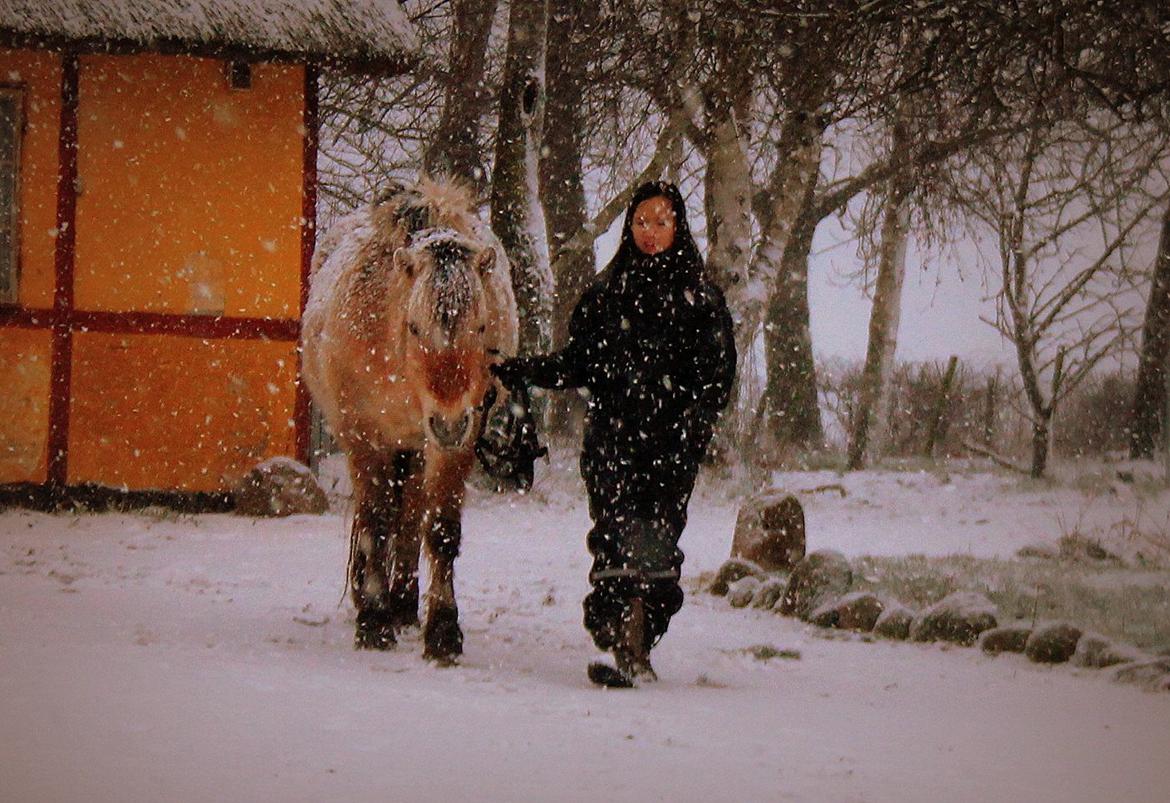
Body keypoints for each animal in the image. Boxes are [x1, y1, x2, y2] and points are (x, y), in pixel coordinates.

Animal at [301, 179, 517, 664]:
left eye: (480, 327)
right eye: (415, 327)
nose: (449, 423)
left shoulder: (456, 443)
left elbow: (439, 531)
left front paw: (443, 631)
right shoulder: (364, 436)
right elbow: (376, 522)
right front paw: (373, 621)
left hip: (417, 448)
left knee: (412, 515)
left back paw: (403, 604)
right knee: (379, 517)